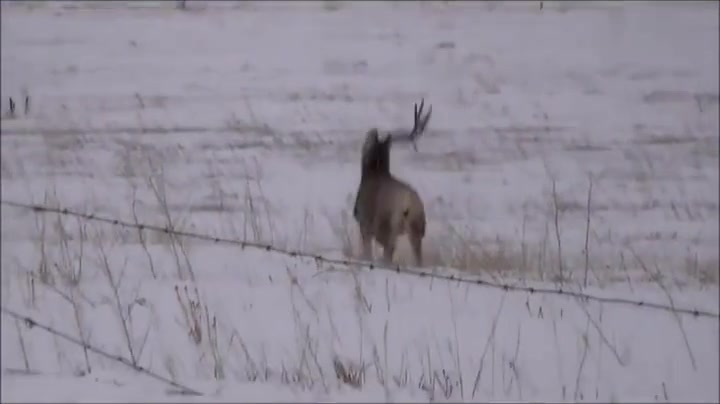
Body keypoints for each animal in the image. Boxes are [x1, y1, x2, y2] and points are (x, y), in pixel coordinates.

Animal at [350, 99, 430, 266]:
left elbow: (368, 253)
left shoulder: (365, 222)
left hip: (391, 223)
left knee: (389, 251)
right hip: (417, 227)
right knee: (417, 256)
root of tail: (410, 204)